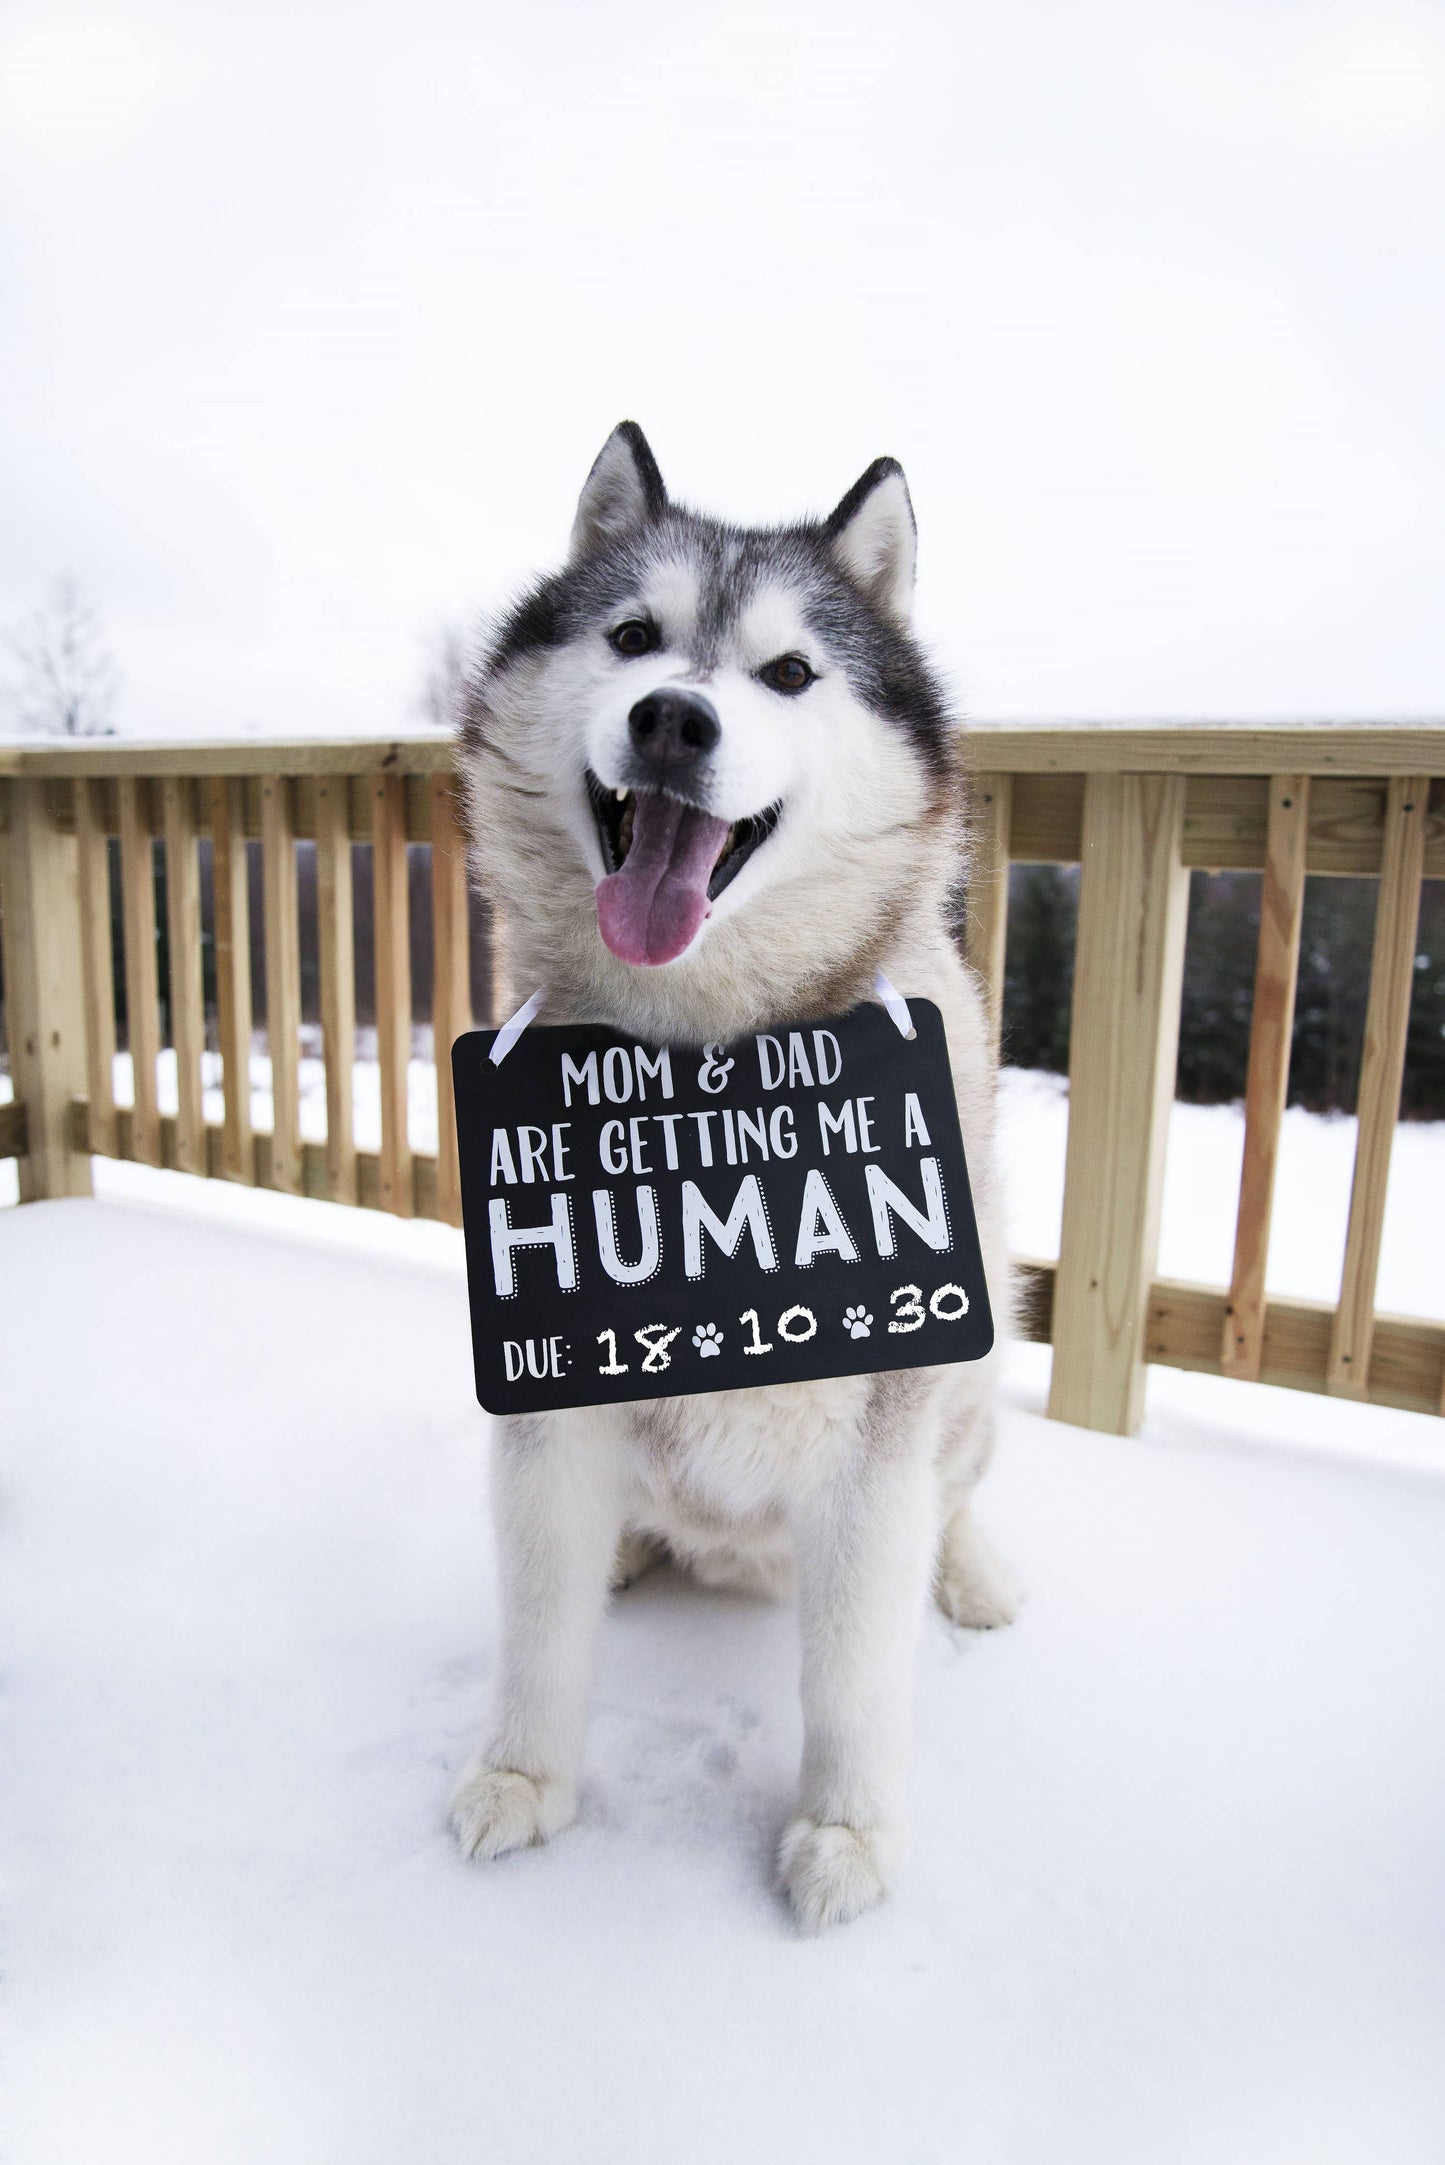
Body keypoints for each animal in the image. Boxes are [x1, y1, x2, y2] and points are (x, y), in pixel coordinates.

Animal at [452, 422, 1018, 1931]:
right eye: (633, 639)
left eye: (788, 673)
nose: (672, 721)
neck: (700, 1067)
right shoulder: (546, 1401)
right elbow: (538, 1627)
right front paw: (524, 1777)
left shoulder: (882, 1426)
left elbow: (856, 1672)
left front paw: (846, 1832)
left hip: (976, 1385)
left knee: (962, 1489)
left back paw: (972, 1572)